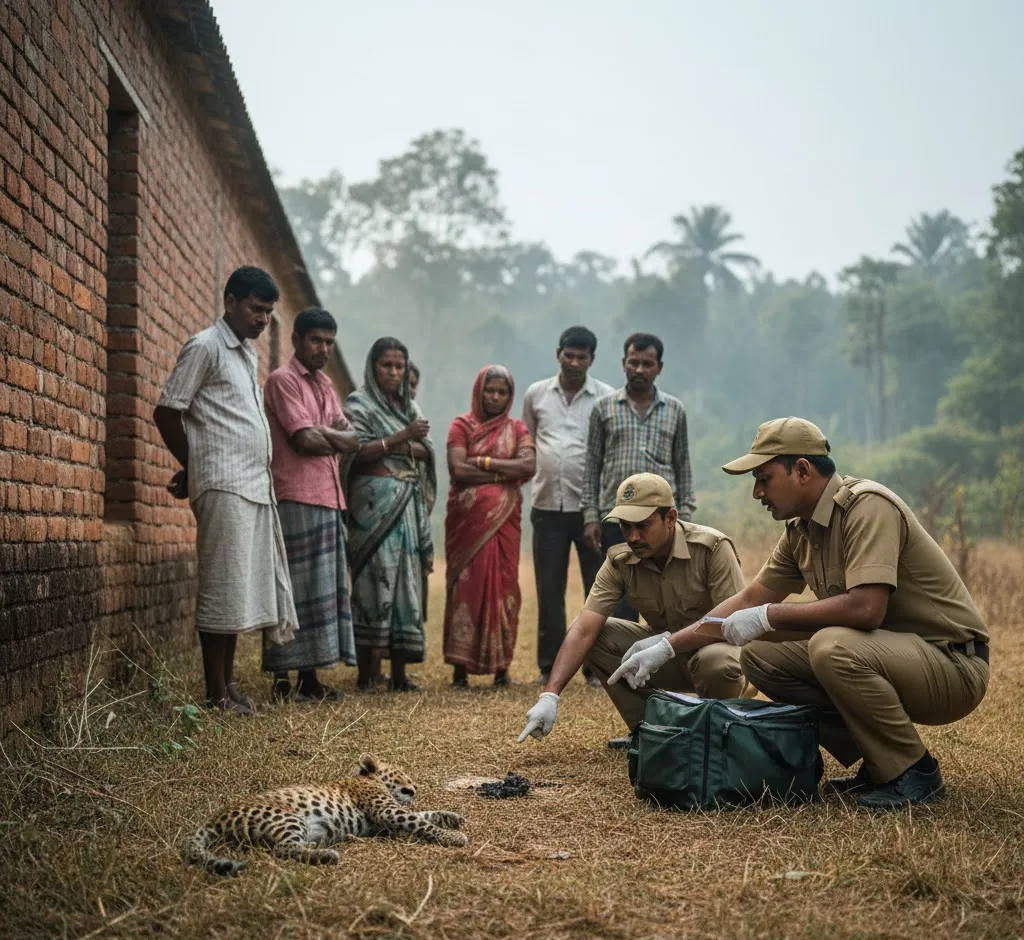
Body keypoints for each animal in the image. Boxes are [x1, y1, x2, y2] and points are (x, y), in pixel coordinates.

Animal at [180, 753, 469, 875]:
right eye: (401, 773)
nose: (416, 787)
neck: (365, 778)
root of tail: (216, 817)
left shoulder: (385, 821)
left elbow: (424, 815)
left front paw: (453, 817)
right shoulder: (388, 811)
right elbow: (419, 820)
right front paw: (455, 838)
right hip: (288, 818)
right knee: (283, 849)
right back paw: (327, 853)